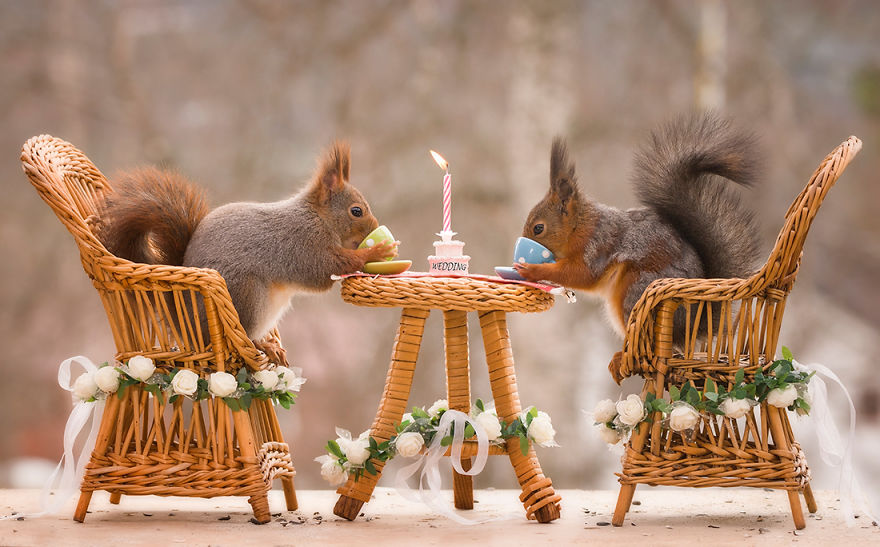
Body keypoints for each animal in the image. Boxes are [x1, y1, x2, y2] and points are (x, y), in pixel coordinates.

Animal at [97, 141, 397, 359]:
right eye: (356, 211)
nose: (375, 227)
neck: (317, 218)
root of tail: (191, 329)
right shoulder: (301, 244)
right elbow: (324, 269)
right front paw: (375, 252)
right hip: (247, 295)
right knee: (244, 337)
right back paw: (261, 345)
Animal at [514, 112, 761, 346]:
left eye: (538, 228)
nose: (522, 244)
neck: (581, 226)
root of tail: (690, 327)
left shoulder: (598, 246)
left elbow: (580, 274)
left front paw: (533, 270)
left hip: (634, 291)